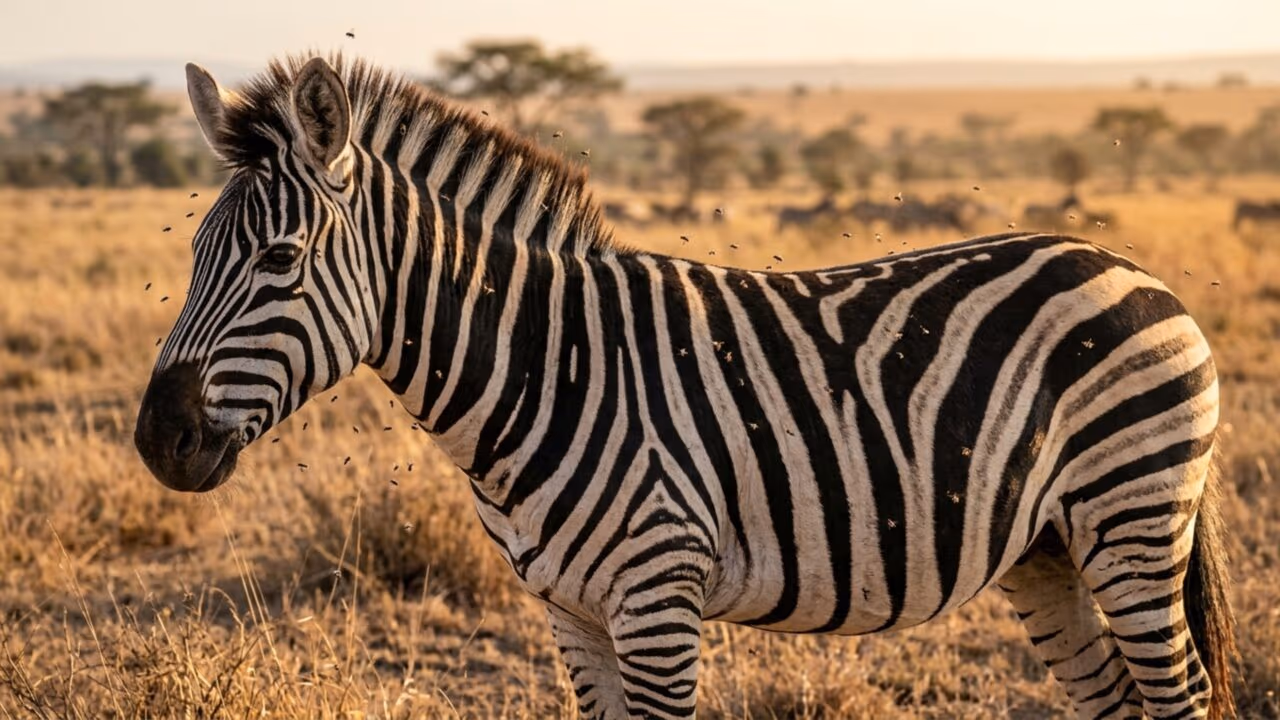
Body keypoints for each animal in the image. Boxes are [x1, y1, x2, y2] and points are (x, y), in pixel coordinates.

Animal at [134, 55, 1236, 719]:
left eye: (279, 260)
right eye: (192, 254)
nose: (157, 441)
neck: (546, 369)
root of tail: (1129, 268)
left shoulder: (656, 597)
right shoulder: (570, 616)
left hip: (1132, 521)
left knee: (1177, 693)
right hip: (1046, 551)